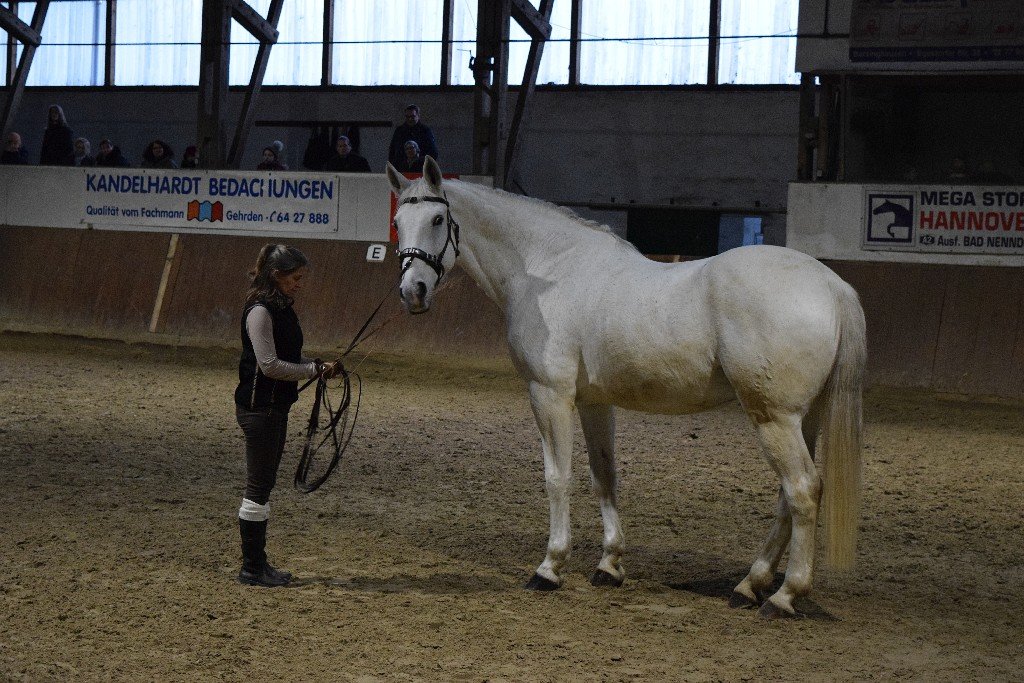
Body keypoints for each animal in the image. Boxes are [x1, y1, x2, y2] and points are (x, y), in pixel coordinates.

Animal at [386, 158, 866, 619]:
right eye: (397, 221)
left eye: (436, 219)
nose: (413, 291)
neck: (550, 269)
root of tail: (831, 285)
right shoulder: (594, 402)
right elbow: (604, 475)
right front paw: (609, 564)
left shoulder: (549, 395)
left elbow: (557, 477)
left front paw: (550, 567)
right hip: (801, 419)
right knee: (788, 496)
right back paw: (751, 584)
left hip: (774, 418)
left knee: (802, 489)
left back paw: (784, 596)